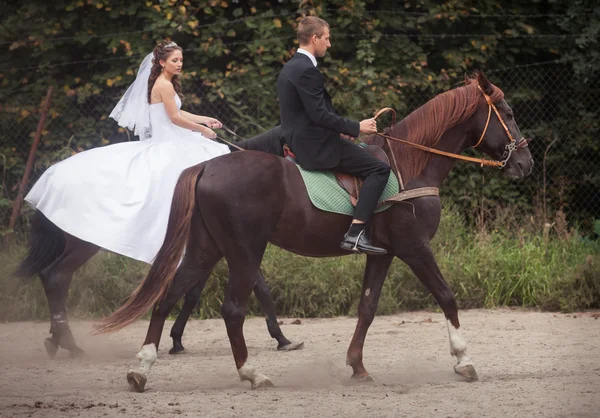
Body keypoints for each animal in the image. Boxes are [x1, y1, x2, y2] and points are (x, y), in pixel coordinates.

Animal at [98, 72, 536, 392]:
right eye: (509, 112)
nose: (526, 163)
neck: (410, 164)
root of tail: (207, 165)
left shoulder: (384, 253)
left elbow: (367, 307)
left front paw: (357, 366)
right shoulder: (415, 247)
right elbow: (447, 297)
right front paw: (464, 360)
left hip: (207, 249)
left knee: (167, 298)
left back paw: (142, 369)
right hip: (244, 251)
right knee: (232, 309)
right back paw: (251, 372)